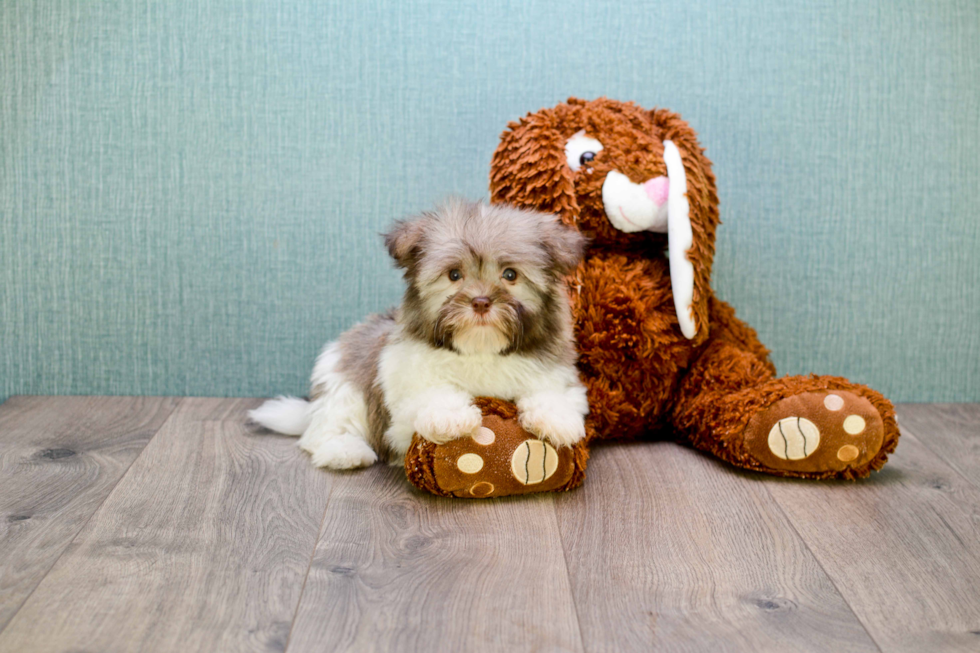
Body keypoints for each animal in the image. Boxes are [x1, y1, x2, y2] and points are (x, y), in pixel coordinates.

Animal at [253, 199, 588, 468]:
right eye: (454, 274)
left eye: (510, 275)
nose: (481, 302)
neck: (479, 349)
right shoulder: (403, 390)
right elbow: (429, 392)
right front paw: (450, 416)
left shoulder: (553, 371)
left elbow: (552, 391)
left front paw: (556, 418)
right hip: (344, 386)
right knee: (327, 429)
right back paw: (344, 451)